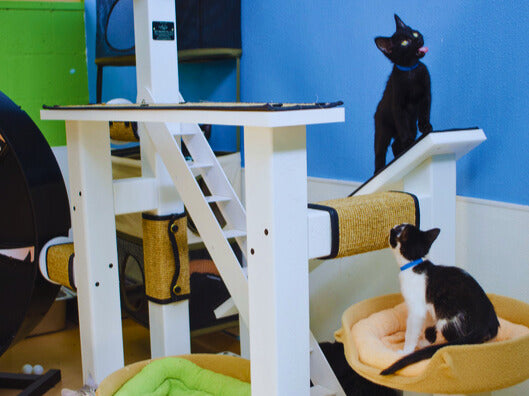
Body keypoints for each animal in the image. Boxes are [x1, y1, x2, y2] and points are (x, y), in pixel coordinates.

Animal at [374, 14, 432, 172]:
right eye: (405, 43)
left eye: (415, 34)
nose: (418, 40)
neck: (411, 71)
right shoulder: (399, 107)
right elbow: (403, 126)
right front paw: (408, 141)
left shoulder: (426, 95)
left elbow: (424, 112)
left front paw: (426, 126)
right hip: (382, 130)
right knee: (380, 151)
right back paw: (379, 169)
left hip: (410, 123)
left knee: (395, 144)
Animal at [380, 224, 500, 376]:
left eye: (398, 231)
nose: (392, 228)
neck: (413, 266)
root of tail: (486, 322)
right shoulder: (429, 308)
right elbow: (429, 327)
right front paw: (425, 342)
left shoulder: (417, 310)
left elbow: (411, 332)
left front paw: (407, 350)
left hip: (446, 314)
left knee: (460, 344)